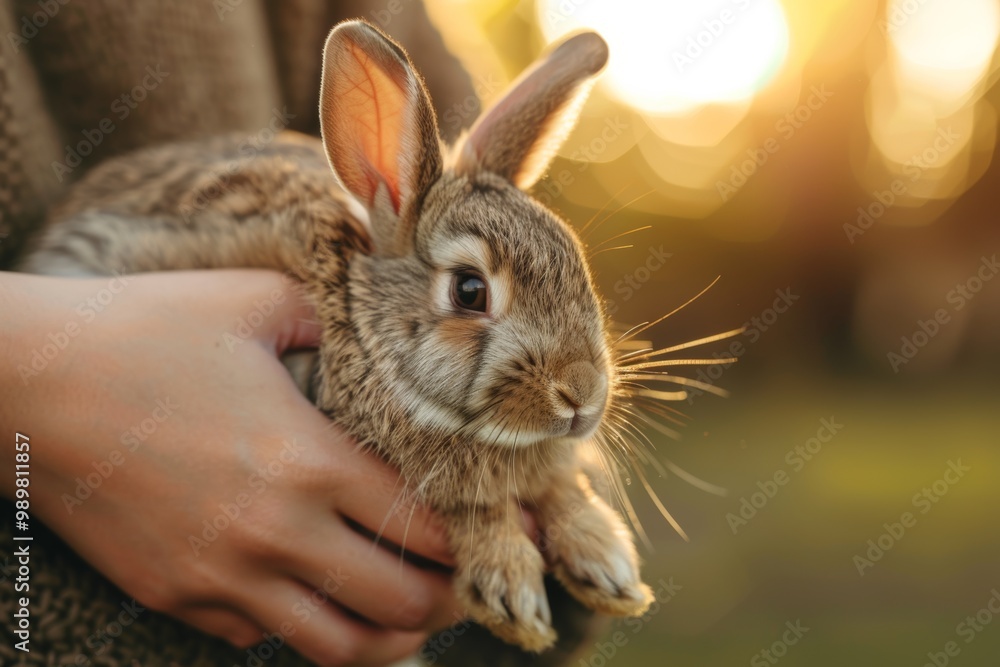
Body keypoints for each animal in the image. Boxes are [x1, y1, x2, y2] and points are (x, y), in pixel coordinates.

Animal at [18, 20, 654, 652]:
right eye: (470, 290)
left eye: (577, 262)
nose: (582, 396)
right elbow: (464, 504)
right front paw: (511, 588)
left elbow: (558, 484)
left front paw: (606, 563)